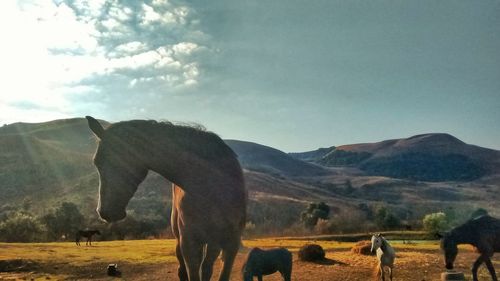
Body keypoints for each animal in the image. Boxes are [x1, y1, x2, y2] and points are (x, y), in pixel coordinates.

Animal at [87, 116, 248, 280]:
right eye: (96, 162)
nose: (105, 211)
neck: (212, 186)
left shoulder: (231, 244)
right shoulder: (189, 242)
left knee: (207, 267)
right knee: (183, 269)